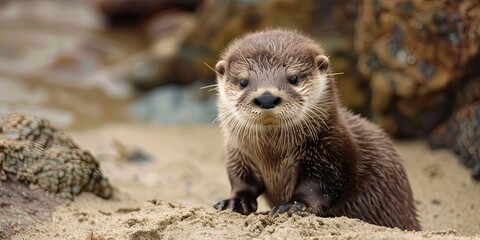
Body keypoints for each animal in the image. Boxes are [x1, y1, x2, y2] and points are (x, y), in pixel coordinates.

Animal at [214, 29, 420, 230]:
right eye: (243, 82)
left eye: (294, 78)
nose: (266, 98)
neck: (273, 156)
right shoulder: (239, 153)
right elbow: (241, 179)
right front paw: (234, 202)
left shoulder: (329, 151)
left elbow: (319, 186)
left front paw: (292, 206)